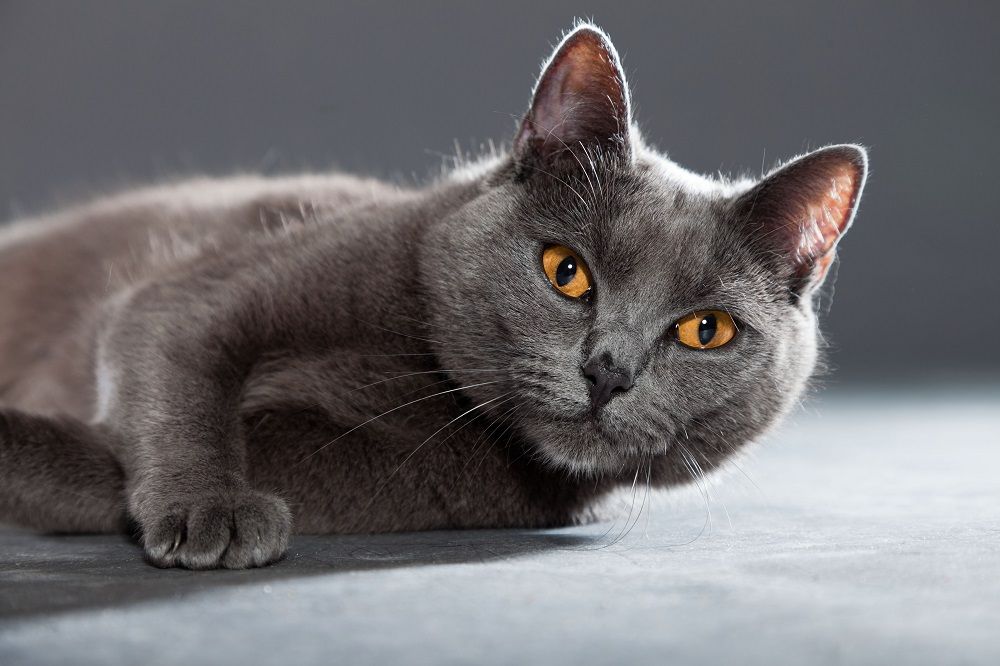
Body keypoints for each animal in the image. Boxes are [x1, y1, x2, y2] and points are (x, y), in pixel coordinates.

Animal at [0, 23, 868, 568]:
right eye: (566, 271)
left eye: (705, 331)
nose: (609, 371)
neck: (420, 378)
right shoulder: (211, 288)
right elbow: (175, 349)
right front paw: (209, 505)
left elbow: (85, 465)